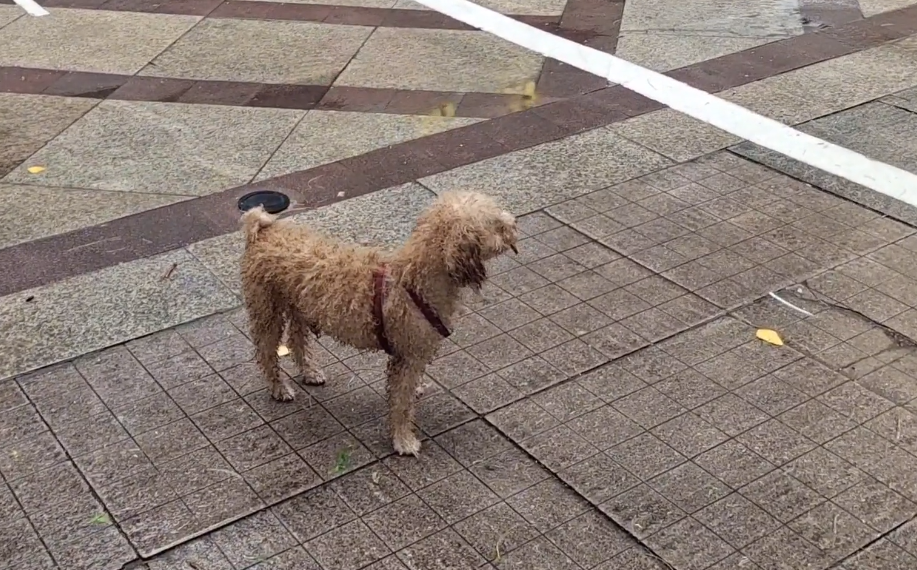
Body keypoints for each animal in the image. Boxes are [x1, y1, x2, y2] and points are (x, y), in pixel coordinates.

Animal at [240, 190, 520, 452]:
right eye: (495, 223)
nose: (514, 224)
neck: (413, 278)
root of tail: (261, 232)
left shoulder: (413, 354)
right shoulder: (407, 357)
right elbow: (401, 403)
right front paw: (403, 440)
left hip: (299, 306)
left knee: (297, 339)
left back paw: (309, 371)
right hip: (267, 311)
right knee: (266, 353)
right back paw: (279, 388)